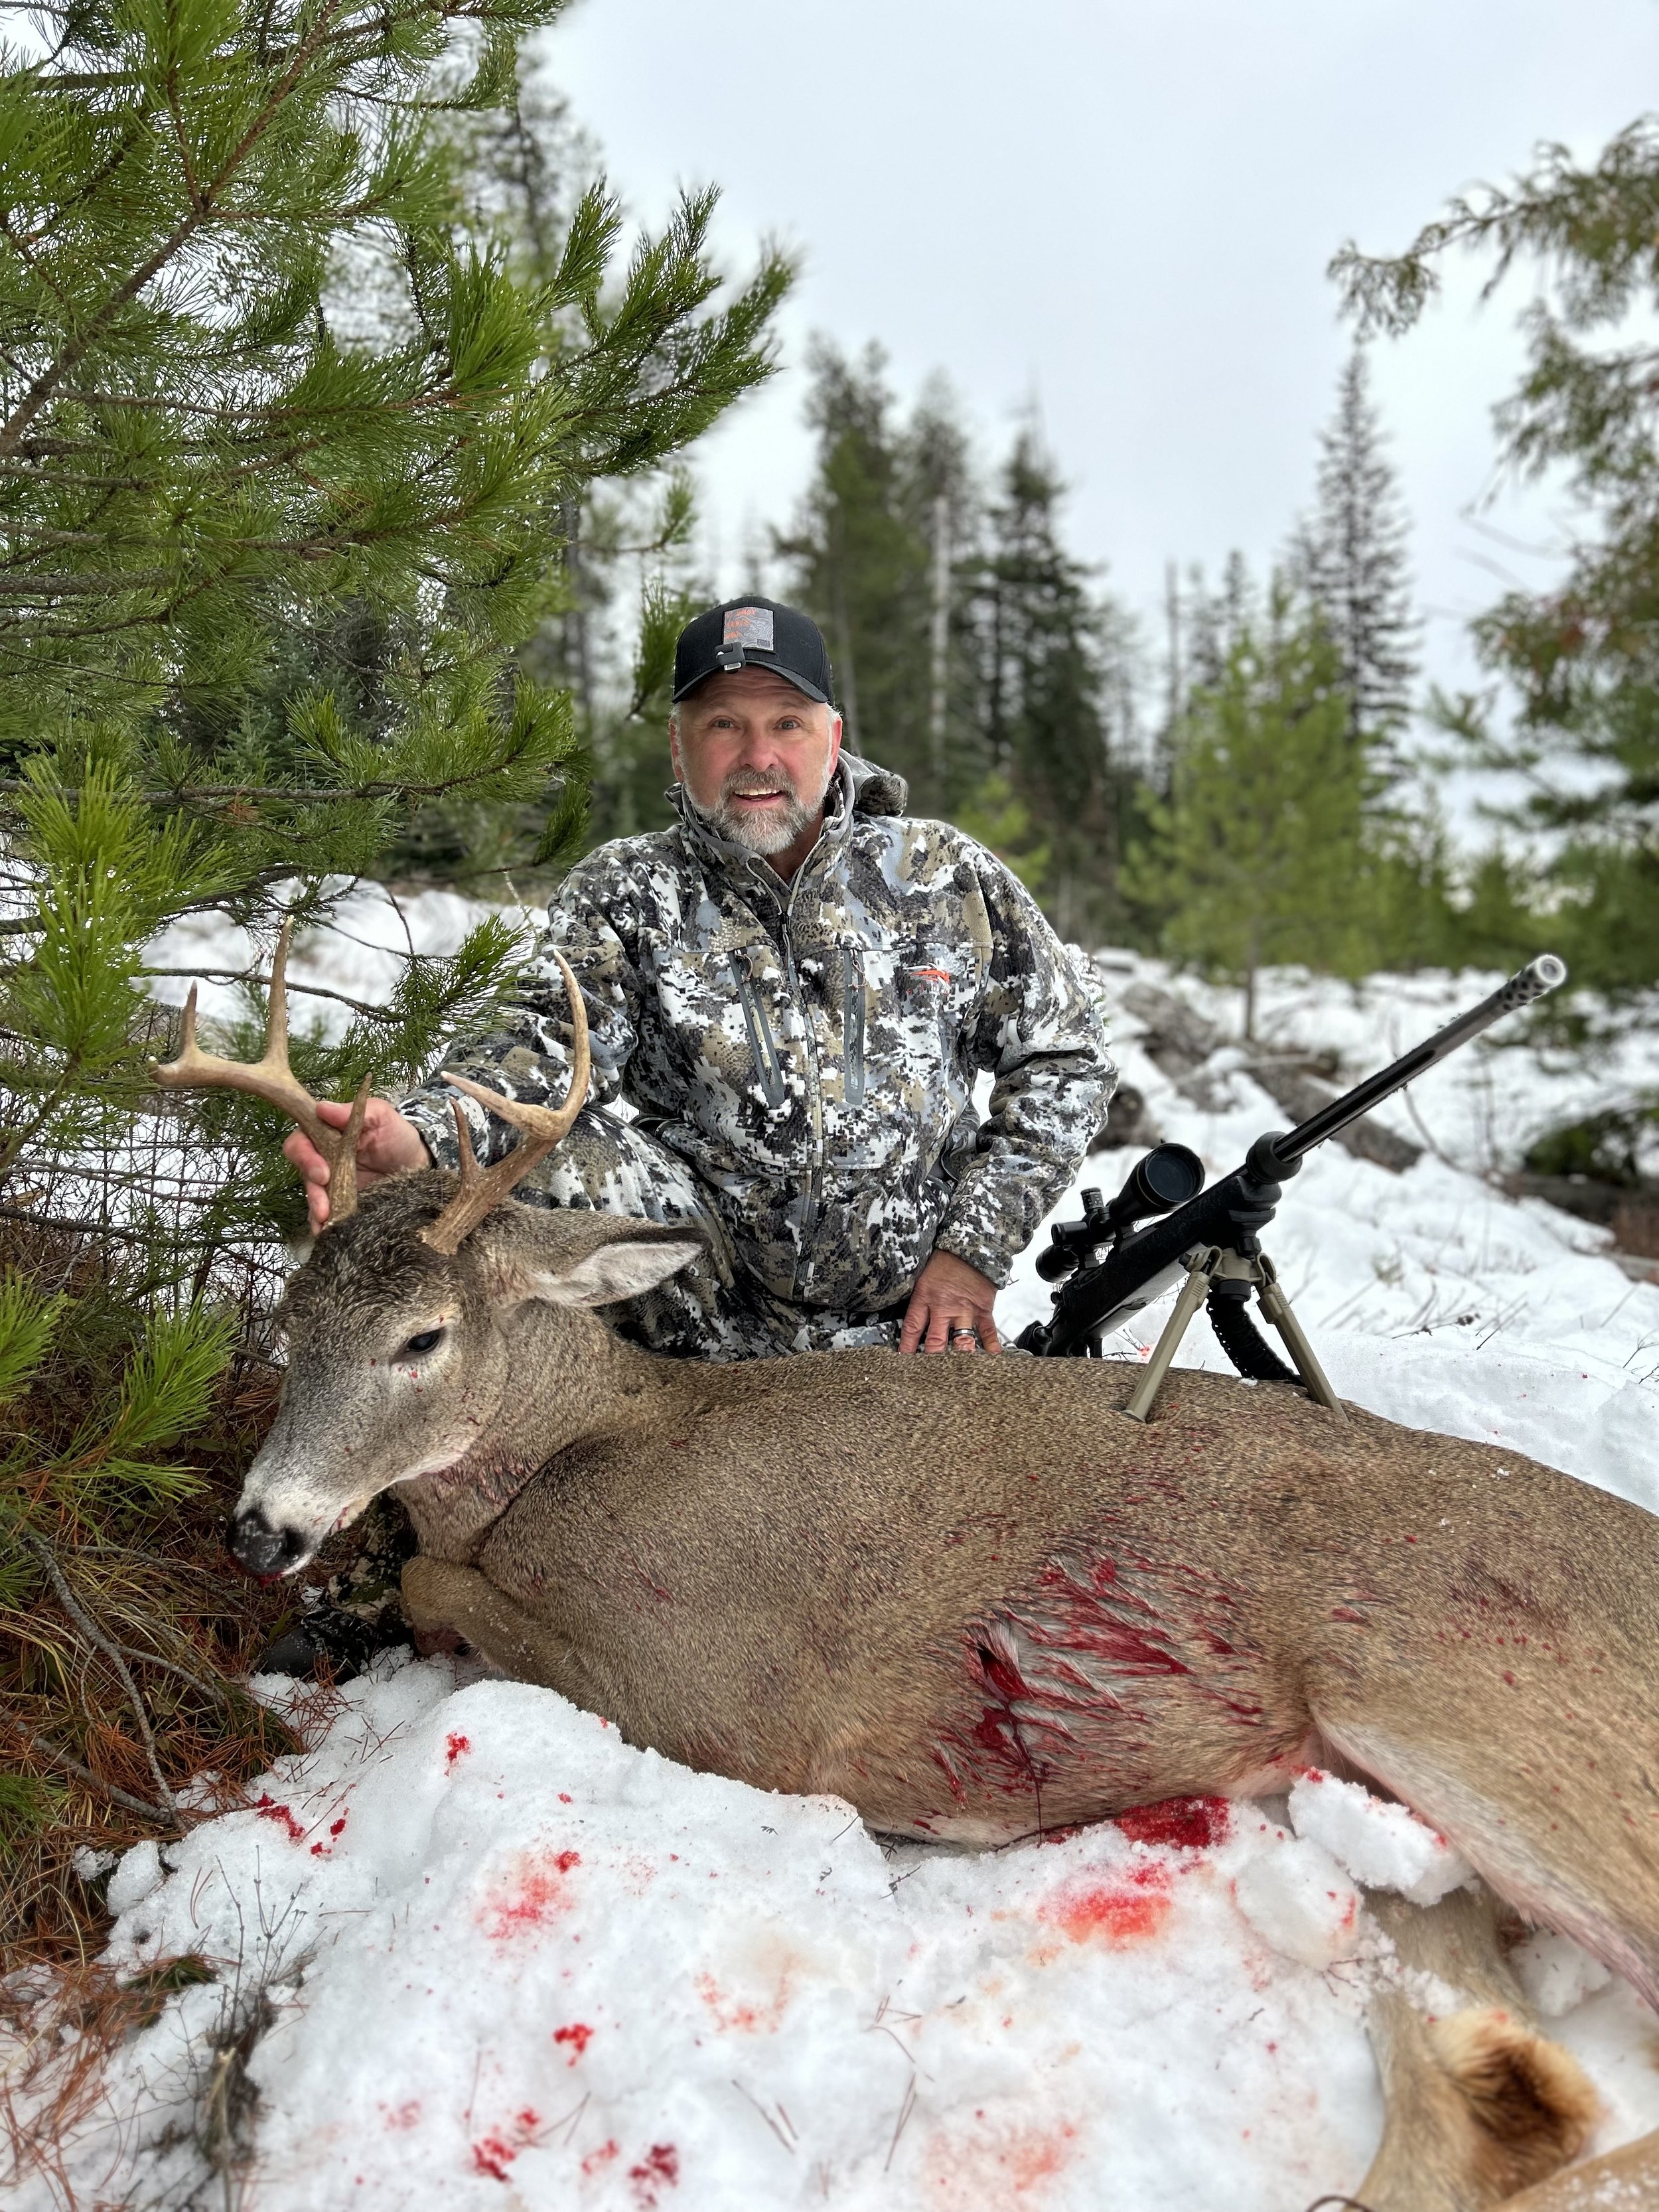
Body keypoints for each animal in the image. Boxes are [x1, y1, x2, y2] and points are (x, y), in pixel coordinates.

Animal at [154, 928, 1659, 2209]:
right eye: (293, 1312)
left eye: (421, 1337)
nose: (261, 1526)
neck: (580, 1441)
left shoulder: (710, 1686)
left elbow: (437, 1586)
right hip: (1387, 1817)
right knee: (1497, 2094)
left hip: (1462, 1701)